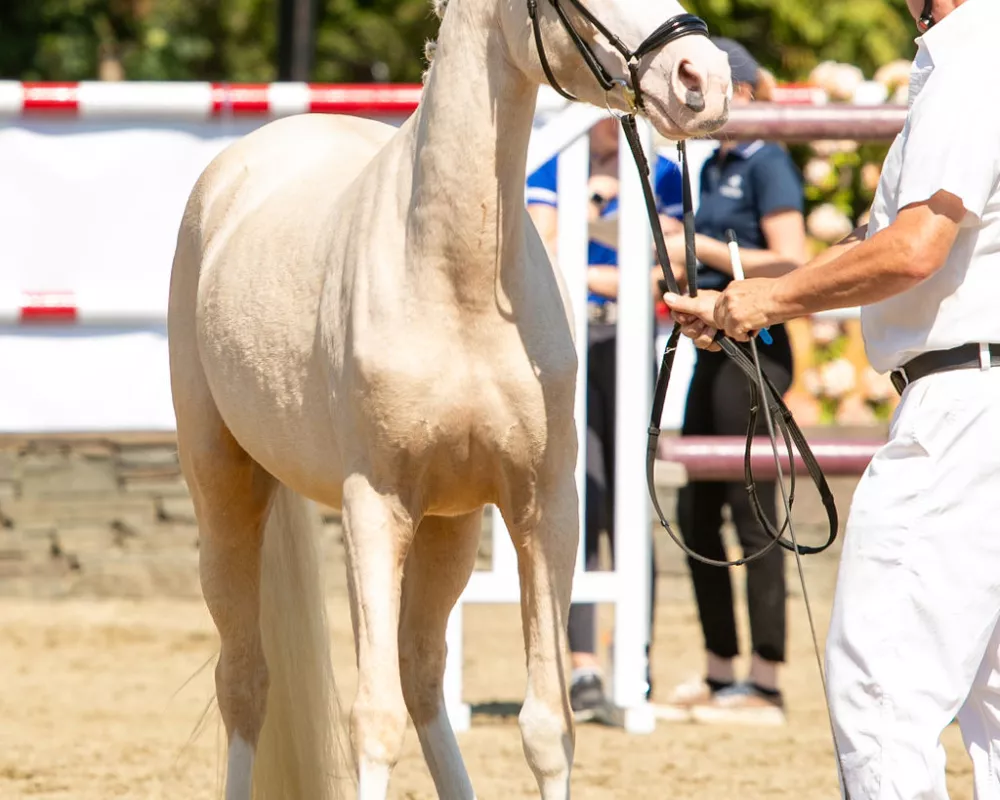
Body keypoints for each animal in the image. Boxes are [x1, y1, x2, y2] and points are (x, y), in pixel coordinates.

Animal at [170, 1, 736, 800]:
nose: (703, 79)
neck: (457, 278)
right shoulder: (374, 508)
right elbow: (374, 722)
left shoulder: (542, 507)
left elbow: (547, 725)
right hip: (225, 494)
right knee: (246, 683)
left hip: (450, 527)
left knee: (421, 674)